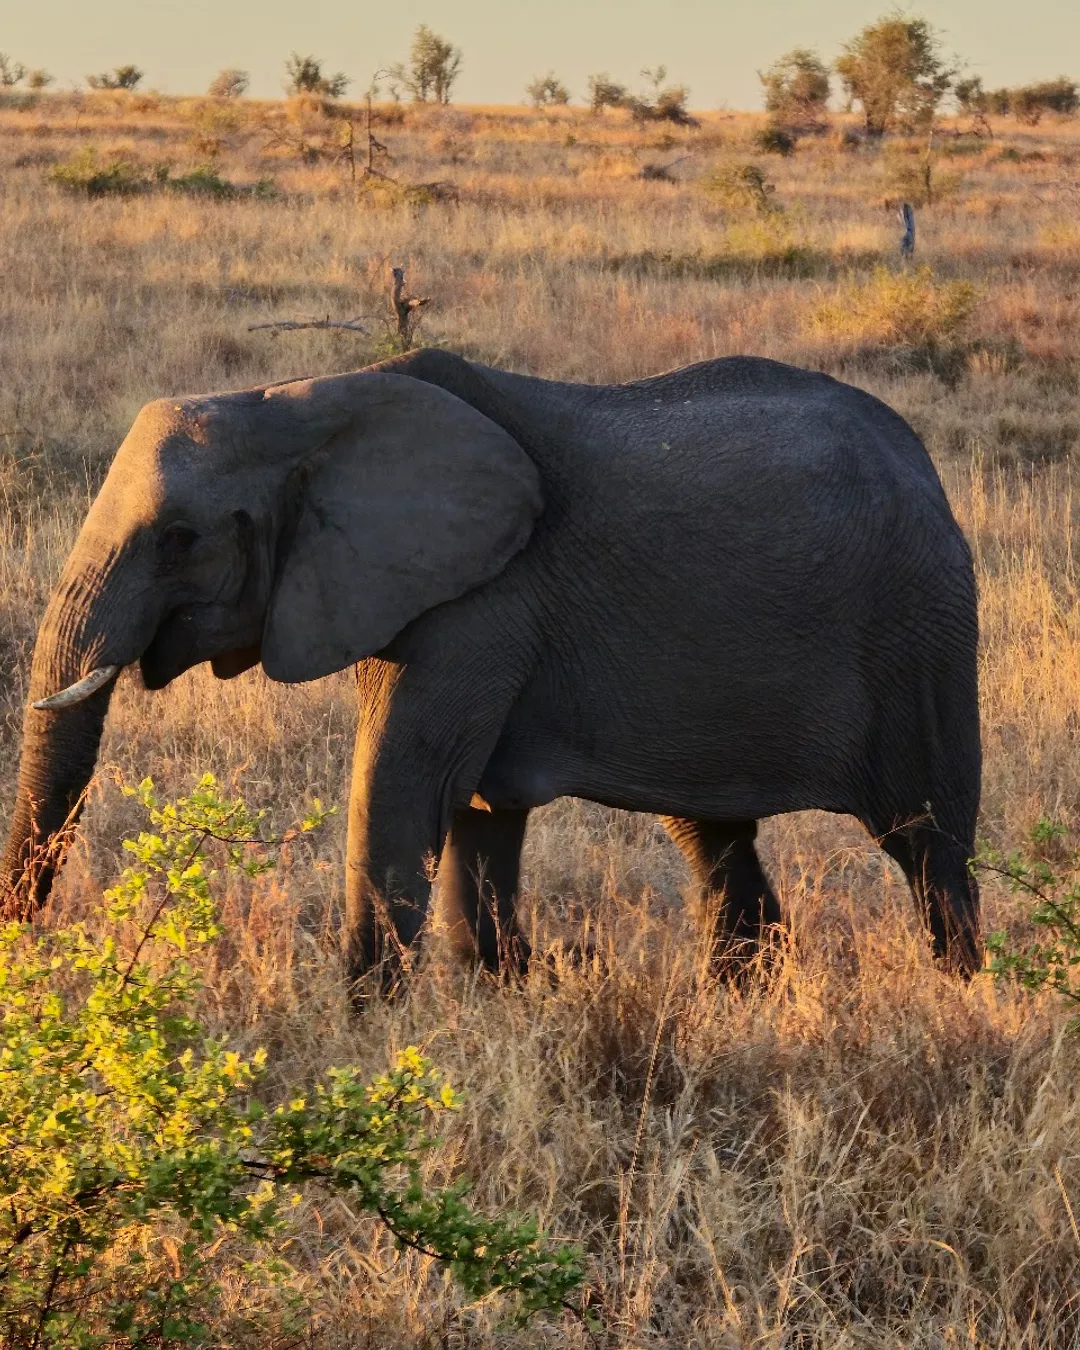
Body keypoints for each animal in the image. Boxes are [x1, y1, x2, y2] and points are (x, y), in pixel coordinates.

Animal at [0, 348, 982, 982]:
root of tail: (922, 463)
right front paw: (500, 996)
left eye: (180, 539)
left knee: (929, 845)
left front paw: (360, 1036)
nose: (25, 955)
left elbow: (401, 787)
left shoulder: (481, 602)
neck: (298, 404)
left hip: (919, 630)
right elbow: (473, 812)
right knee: (715, 840)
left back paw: (960, 996)